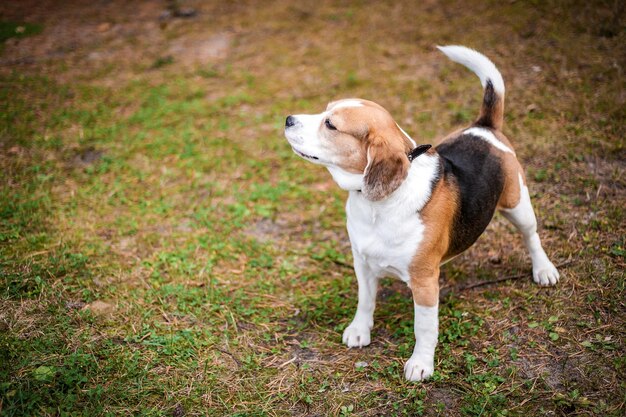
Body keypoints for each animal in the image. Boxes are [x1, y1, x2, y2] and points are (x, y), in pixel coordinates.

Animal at [282, 45, 556, 380]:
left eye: (330, 124)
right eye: (325, 110)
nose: (288, 119)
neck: (378, 204)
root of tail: (483, 127)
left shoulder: (424, 283)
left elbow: (424, 328)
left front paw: (421, 364)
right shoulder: (363, 263)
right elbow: (365, 301)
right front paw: (360, 330)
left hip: (518, 204)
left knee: (532, 237)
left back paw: (544, 269)